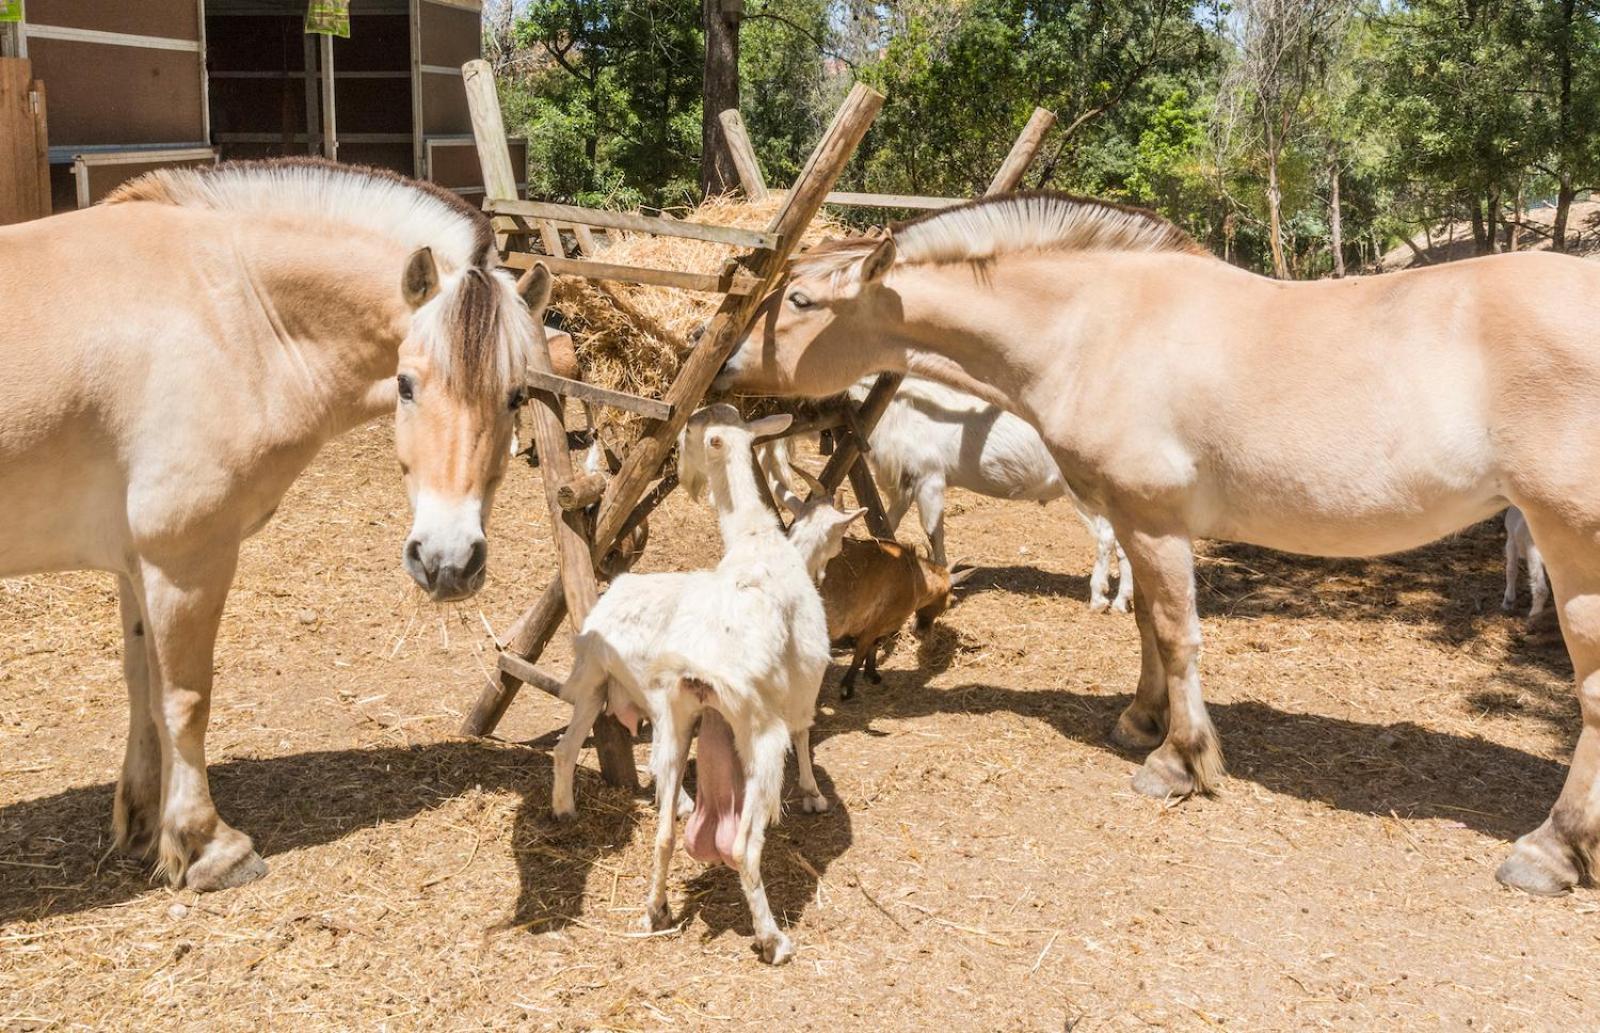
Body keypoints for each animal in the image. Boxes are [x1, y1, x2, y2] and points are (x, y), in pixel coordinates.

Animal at [0, 157, 553, 895]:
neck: (226, 308)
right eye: (406, 384)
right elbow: (185, 699)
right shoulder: (185, 560)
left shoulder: (137, 562)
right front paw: (207, 845)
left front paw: (144, 824)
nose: (448, 560)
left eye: (516, 395)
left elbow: (142, 684)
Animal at [547, 406, 857, 972]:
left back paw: (651, 905)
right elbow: (805, 735)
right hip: (757, 736)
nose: (687, 480)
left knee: (656, 821)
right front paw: (811, 795)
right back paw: (772, 940)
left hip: (645, 709)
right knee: (741, 848)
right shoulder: (801, 693)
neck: (758, 540)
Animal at [819, 537, 966, 700]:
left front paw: (872, 676)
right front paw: (846, 689)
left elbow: (873, 647)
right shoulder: (875, 624)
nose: (921, 629)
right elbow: (860, 654)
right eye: (951, 601)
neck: (915, 577)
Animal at [857, 378, 1132, 614]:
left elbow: (933, 532)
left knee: (1106, 536)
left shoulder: (929, 478)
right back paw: (1121, 602)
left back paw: (1098, 599)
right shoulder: (905, 484)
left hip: (1082, 491)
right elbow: (888, 522)